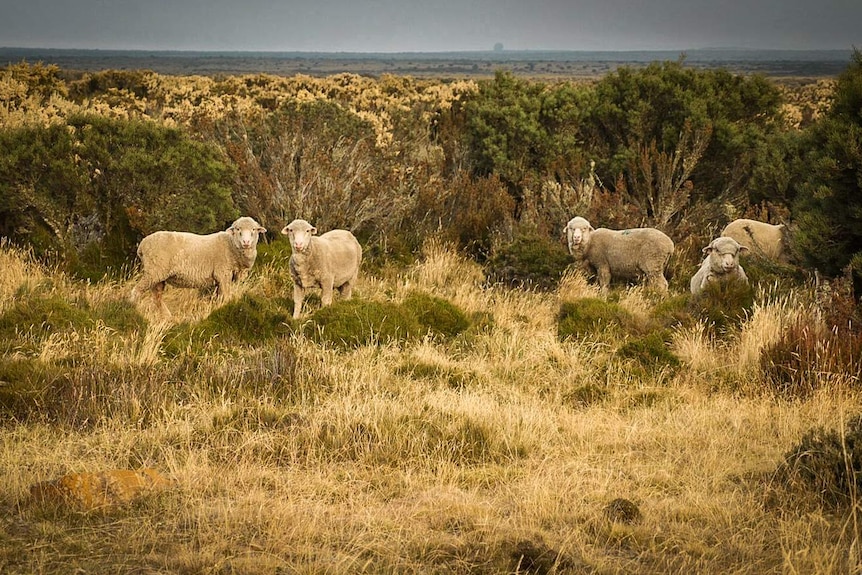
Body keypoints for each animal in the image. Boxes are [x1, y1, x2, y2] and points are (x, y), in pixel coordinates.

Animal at [130, 215, 266, 316]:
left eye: (254, 230)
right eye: (238, 229)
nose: (246, 242)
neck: (231, 246)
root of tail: (142, 245)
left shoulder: (222, 279)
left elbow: (220, 297)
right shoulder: (223, 274)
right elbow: (226, 296)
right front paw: (227, 308)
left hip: (158, 275)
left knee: (157, 297)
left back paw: (167, 317)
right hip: (153, 271)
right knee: (136, 291)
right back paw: (131, 309)